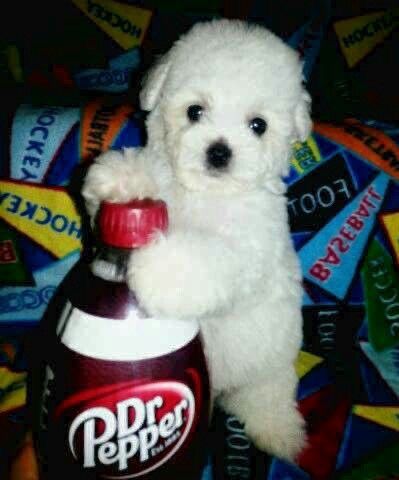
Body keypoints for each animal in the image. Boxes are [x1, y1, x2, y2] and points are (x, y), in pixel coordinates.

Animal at [82, 18, 312, 462]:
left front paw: (155, 268)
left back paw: (280, 432)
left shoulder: (249, 248)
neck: (206, 193)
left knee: (269, 396)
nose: (219, 152)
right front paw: (122, 178)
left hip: (269, 366)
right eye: (195, 111)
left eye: (258, 125)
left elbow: (205, 263)